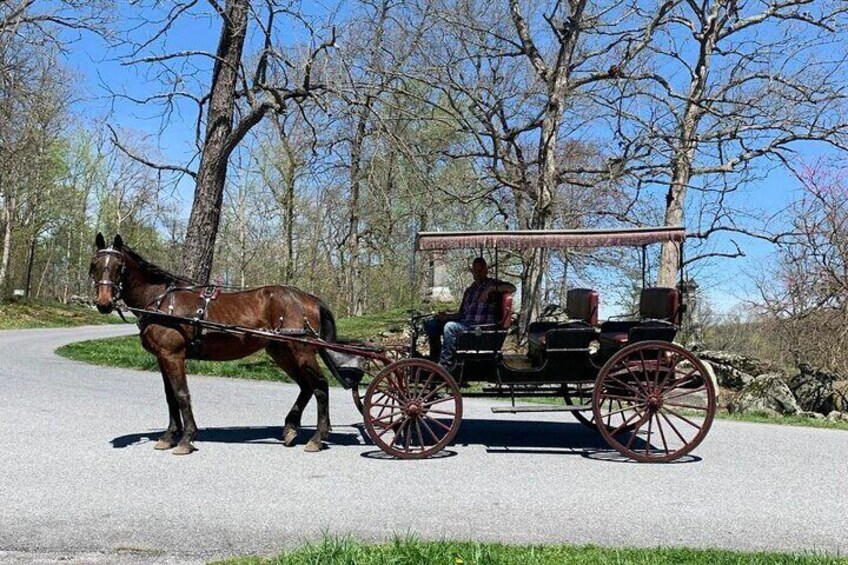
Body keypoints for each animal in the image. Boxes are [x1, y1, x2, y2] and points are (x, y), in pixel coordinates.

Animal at [88, 232, 334, 454]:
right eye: (95, 264)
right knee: (306, 387)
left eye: (119, 266)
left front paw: (186, 438)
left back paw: (317, 438)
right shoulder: (162, 357)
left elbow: (181, 394)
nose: (104, 303)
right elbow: (170, 397)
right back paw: (291, 429)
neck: (161, 302)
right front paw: (168, 436)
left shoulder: (173, 355)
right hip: (281, 352)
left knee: (321, 386)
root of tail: (310, 299)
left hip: (301, 350)